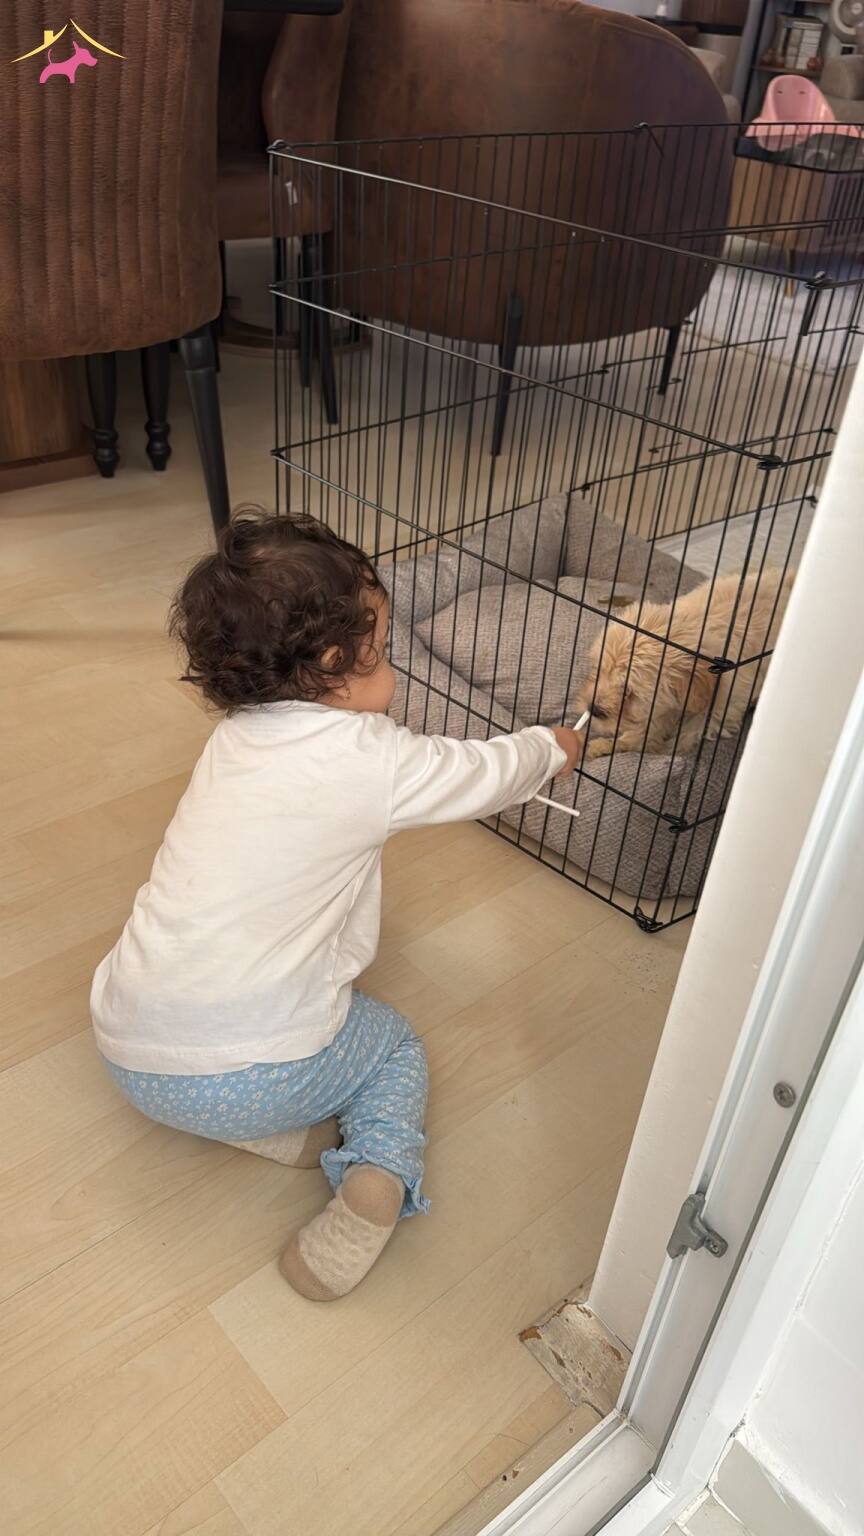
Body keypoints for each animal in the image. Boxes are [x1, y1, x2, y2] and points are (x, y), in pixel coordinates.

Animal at [577, 568, 795, 760]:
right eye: (598, 671)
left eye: (628, 691)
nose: (593, 708)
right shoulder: (665, 704)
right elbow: (650, 725)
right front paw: (613, 744)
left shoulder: (721, 706)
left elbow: (688, 733)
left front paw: (665, 752)